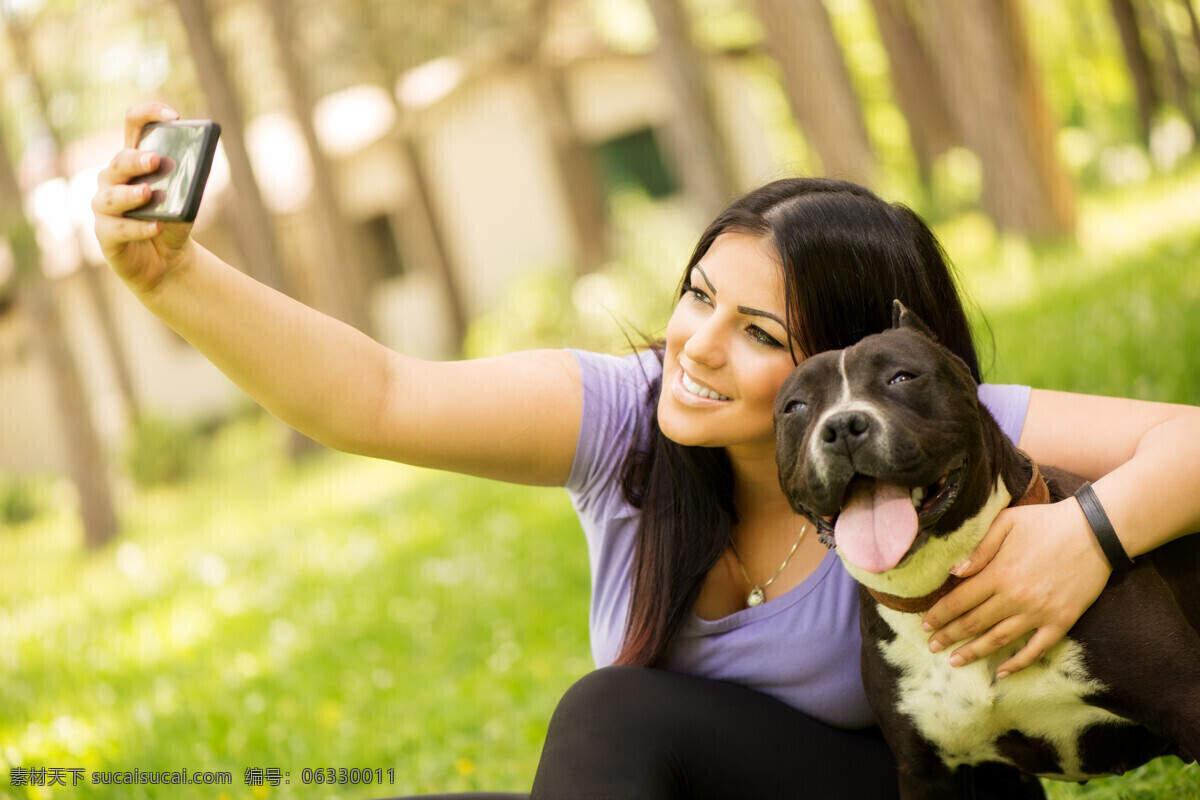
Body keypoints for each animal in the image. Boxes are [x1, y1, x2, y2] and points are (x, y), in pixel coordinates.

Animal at [772, 303, 1195, 796]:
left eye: (901, 377)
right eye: (796, 407)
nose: (842, 426)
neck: (940, 583)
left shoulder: (1186, 700)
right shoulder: (925, 772)